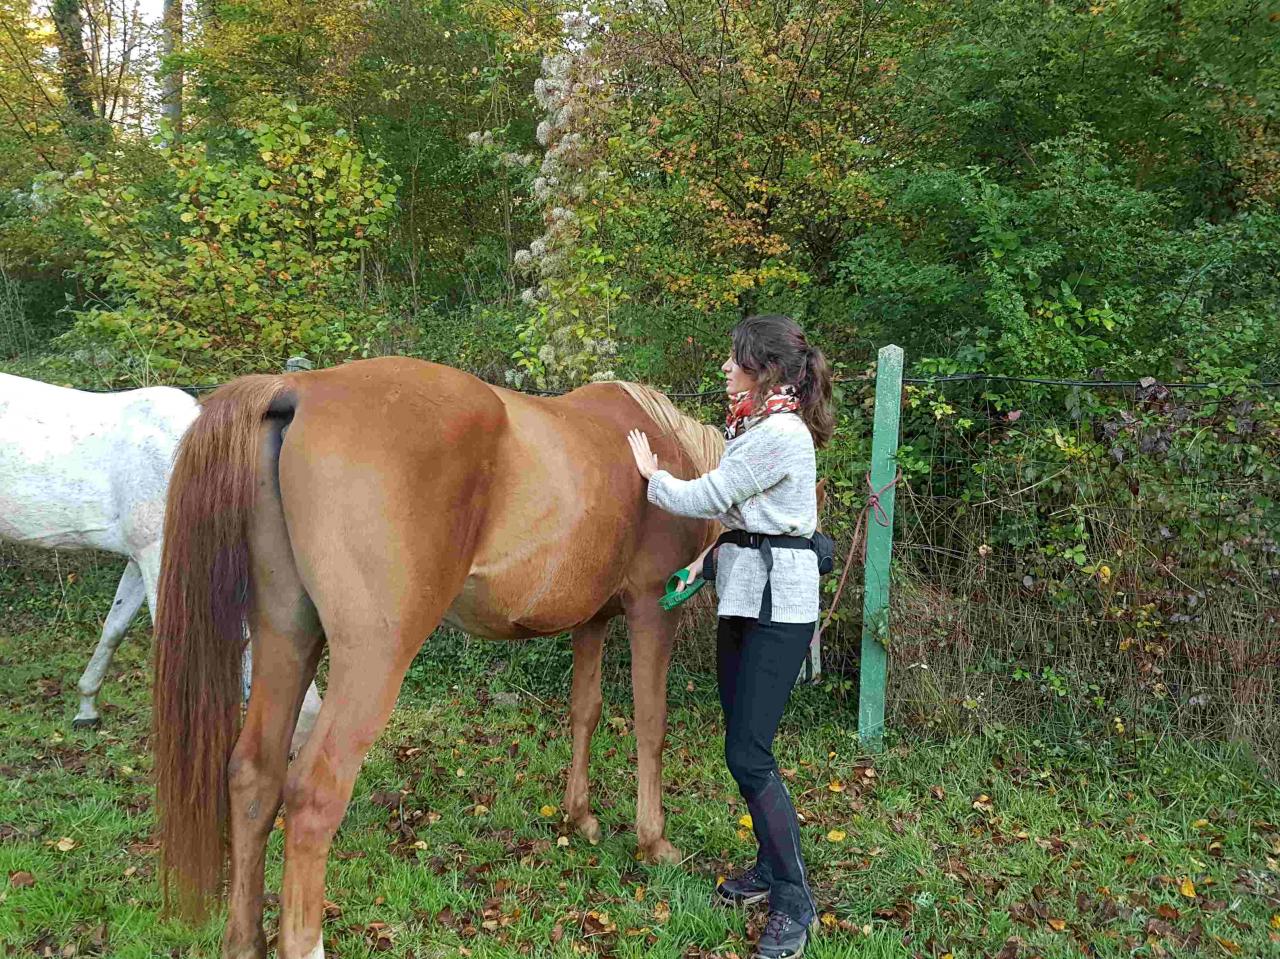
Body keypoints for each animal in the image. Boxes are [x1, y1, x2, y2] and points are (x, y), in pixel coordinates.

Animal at [152, 355, 721, 952]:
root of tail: (297, 390)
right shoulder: (652, 609)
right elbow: (650, 723)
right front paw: (653, 841)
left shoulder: (590, 622)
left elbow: (584, 713)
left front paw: (579, 817)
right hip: (373, 660)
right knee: (312, 795)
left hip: (286, 638)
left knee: (253, 774)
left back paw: (244, 941)